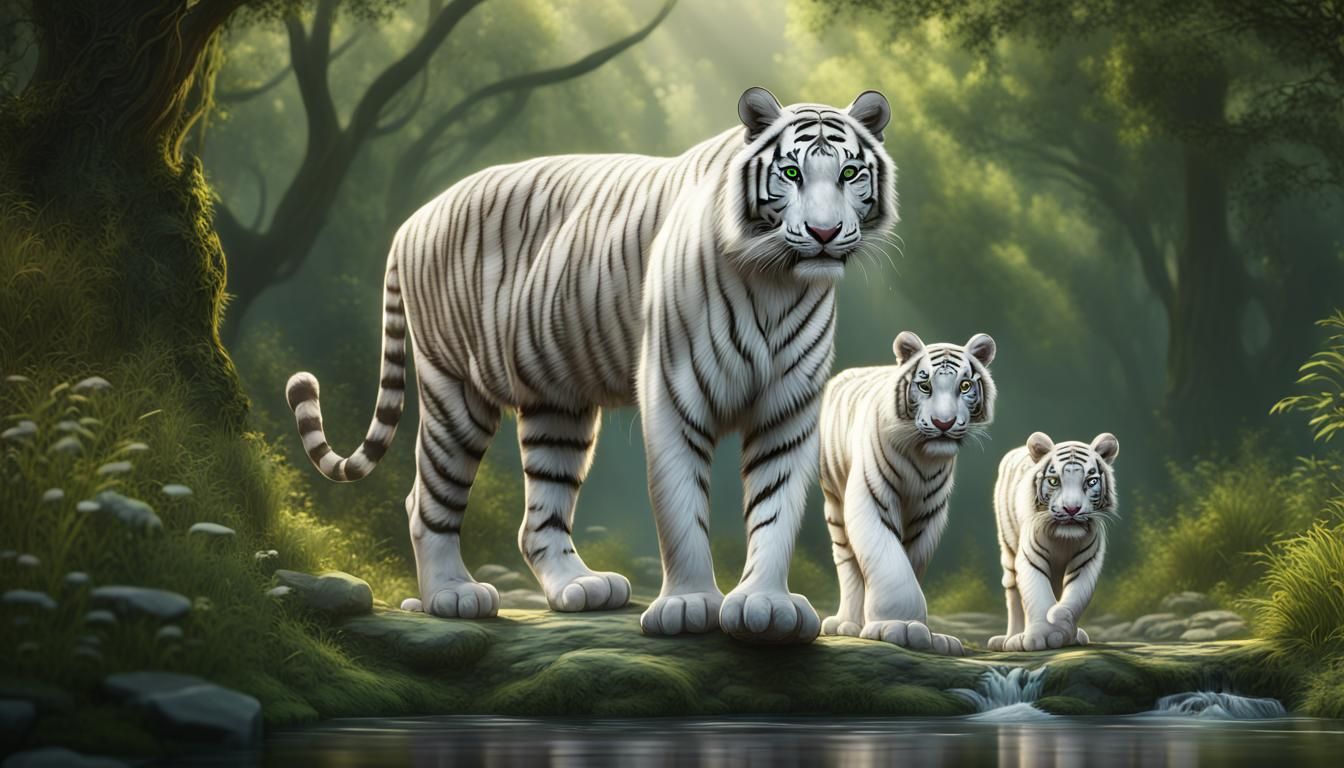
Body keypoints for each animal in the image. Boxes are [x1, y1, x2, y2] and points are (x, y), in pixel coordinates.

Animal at [283, 86, 898, 643]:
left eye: (849, 174)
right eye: (791, 172)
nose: (823, 233)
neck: (777, 282)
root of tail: (413, 220)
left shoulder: (789, 406)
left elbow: (776, 507)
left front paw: (766, 606)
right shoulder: (674, 392)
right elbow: (680, 508)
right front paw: (690, 605)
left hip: (558, 406)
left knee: (539, 517)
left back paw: (580, 587)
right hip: (456, 389)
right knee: (426, 498)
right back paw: (452, 596)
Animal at [817, 331, 997, 656]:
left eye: (965, 386)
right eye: (925, 386)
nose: (943, 424)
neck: (922, 457)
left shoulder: (929, 511)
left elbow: (911, 562)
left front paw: (920, 631)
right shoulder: (871, 497)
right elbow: (889, 562)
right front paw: (900, 626)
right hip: (834, 501)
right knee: (847, 560)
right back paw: (847, 623)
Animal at [987, 432, 1119, 652]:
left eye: (1091, 481)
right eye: (1054, 481)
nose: (1071, 509)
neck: (1063, 539)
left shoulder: (1087, 560)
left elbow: (1075, 597)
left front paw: (1062, 624)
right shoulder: (1030, 557)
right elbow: (1037, 595)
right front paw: (1038, 636)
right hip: (1008, 548)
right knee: (1013, 592)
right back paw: (1011, 638)